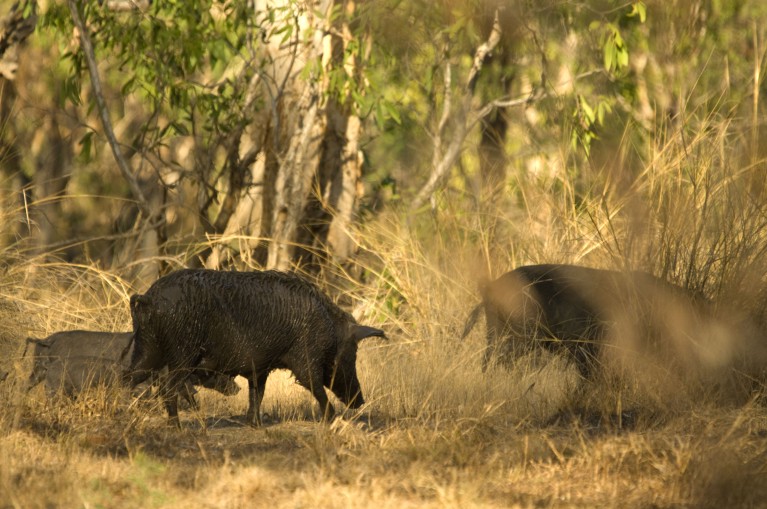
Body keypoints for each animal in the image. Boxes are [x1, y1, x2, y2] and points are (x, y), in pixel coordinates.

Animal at [126, 269, 387, 427]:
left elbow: (257, 393)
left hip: (147, 348)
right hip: (182, 352)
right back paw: (178, 426)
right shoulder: (305, 358)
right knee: (167, 387)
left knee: (127, 376)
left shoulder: (259, 367)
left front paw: (255, 424)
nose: (360, 401)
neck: (330, 329)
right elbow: (315, 386)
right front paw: (332, 420)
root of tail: (150, 297)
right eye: (351, 354)